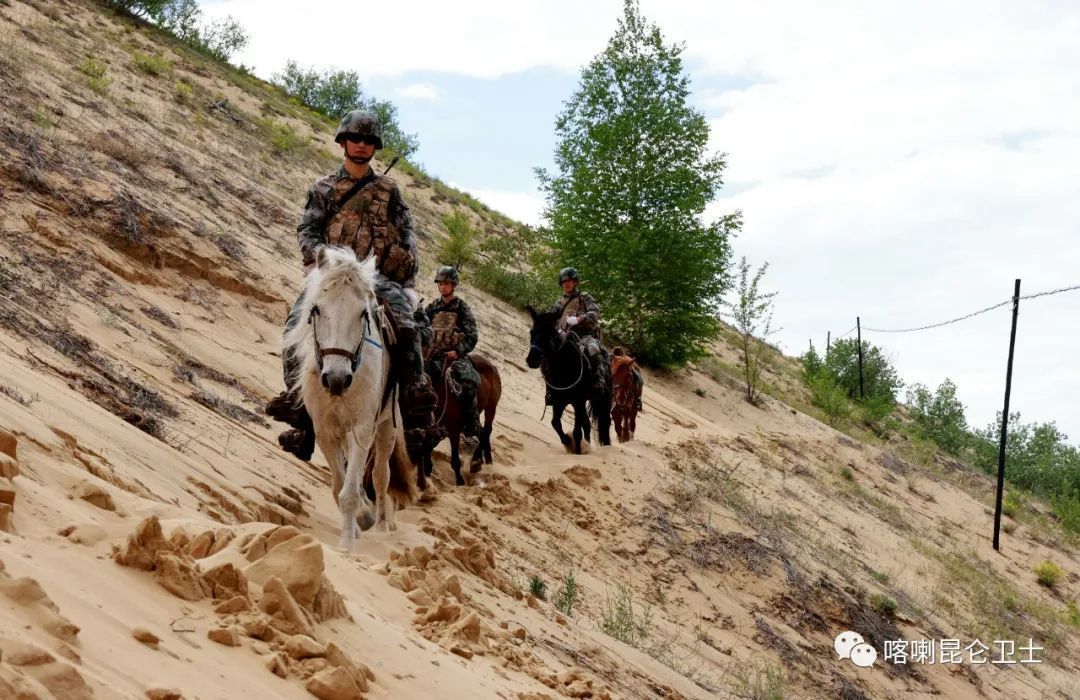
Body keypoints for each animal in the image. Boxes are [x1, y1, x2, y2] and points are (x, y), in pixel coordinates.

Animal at [282, 246, 412, 553]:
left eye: (363, 314)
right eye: (316, 309)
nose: (337, 379)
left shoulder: (362, 430)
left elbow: (351, 491)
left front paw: (347, 544)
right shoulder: (325, 430)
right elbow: (339, 485)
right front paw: (354, 527)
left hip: (387, 428)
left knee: (381, 475)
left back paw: (381, 526)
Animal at [423, 352, 503, 483]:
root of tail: (493, 367)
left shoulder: (453, 429)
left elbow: (455, 460)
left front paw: (460, 481)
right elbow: (428, 445)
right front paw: (427, 470)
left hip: (492, 406)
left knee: (486, 430)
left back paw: (476, 461)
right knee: (481, 431)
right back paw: (486, 460)